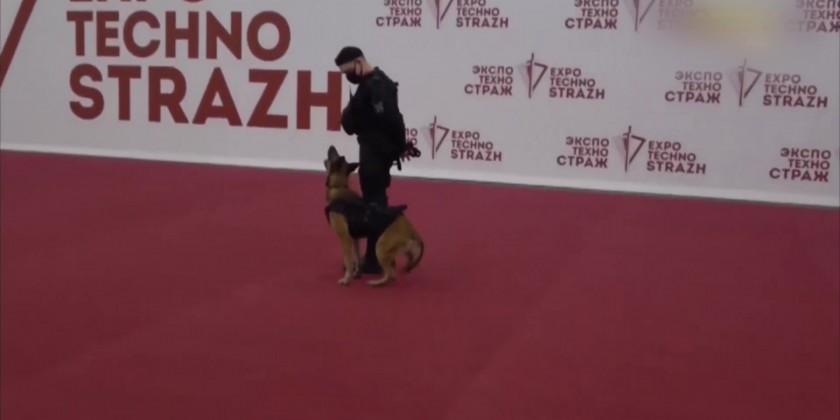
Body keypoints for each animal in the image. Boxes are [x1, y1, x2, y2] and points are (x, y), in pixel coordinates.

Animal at [323, 145, 424, 287]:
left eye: (334, 155)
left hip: (380, 247)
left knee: (391, 272)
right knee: (396, 266)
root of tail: (407, 225)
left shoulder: (345, 238)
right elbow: (357, 258)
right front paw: (357, 274)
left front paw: (346, 278)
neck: (339, 187)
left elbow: (348, 261)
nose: (331, 146)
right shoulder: (355, 239)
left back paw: (376, 282)